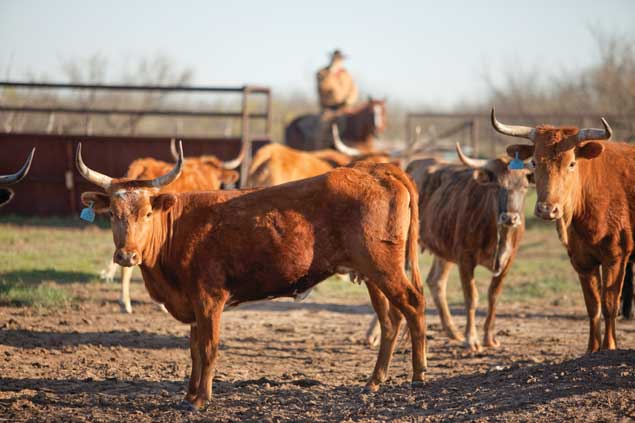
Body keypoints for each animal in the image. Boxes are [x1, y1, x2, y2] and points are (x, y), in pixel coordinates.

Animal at [492, 107, 632, 352]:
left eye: (572, 163)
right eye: (534, 162)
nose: (547, 209)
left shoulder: (616, 257)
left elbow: (609, 305)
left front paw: (609, 346)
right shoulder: (582, 262)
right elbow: (593, 306)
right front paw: (592, 349)